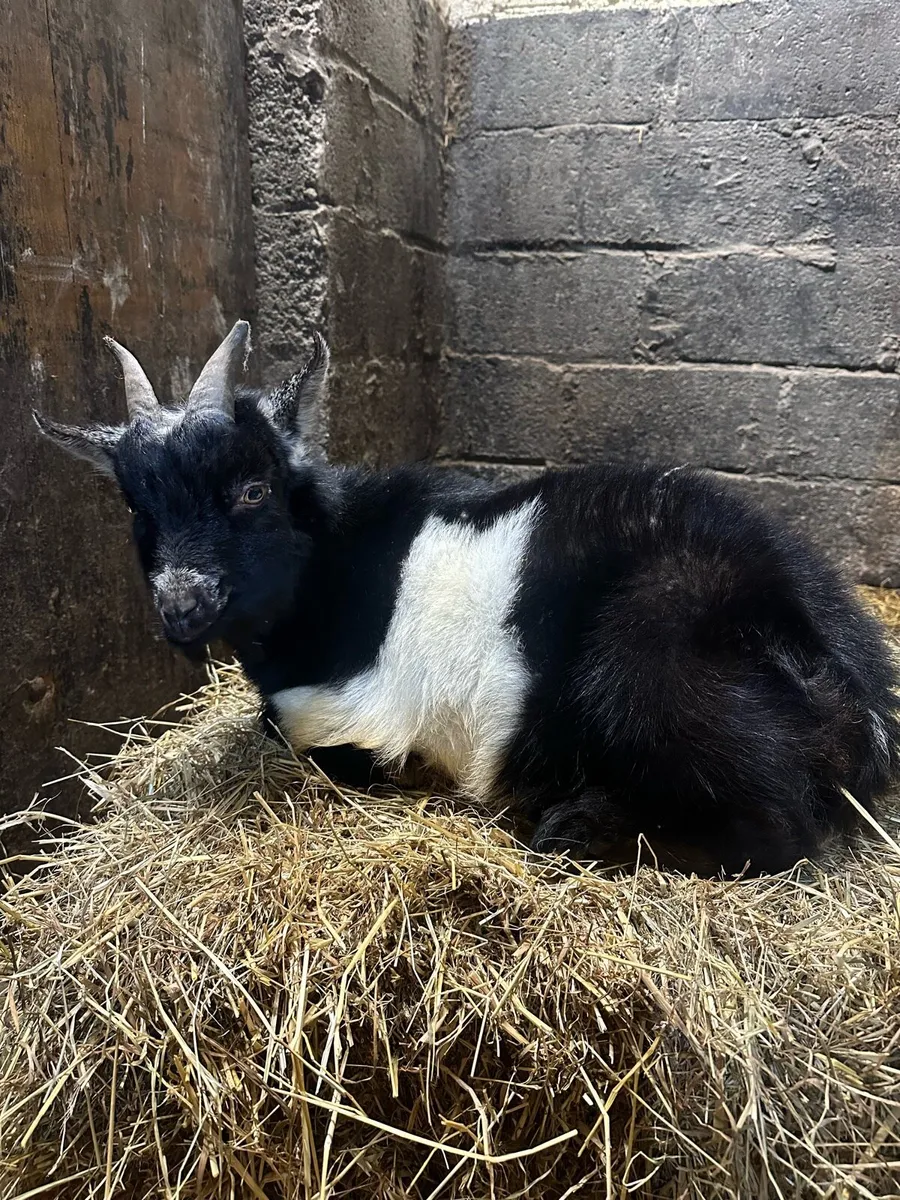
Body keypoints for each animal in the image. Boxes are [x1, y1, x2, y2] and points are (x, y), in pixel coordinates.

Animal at [35, 321, 900, 874]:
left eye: (253, 489)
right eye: (136, 509)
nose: (181, 606)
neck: (334, 575)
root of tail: (855, 689)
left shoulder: (356, 721)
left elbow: (304, 740)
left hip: (650, 653)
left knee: (773, 825)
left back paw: (574, 827)